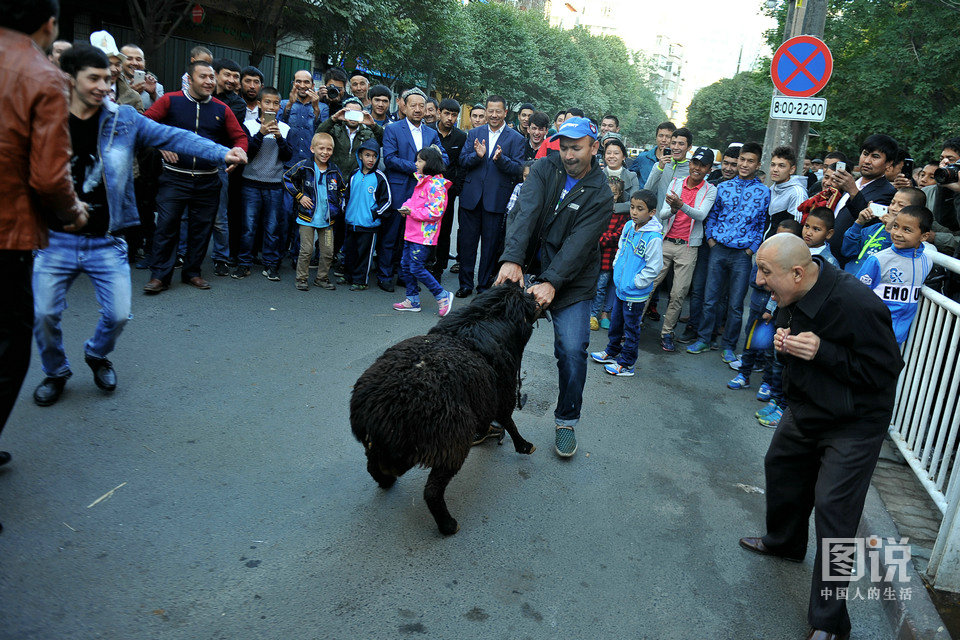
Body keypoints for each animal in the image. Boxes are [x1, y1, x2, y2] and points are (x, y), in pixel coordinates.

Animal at [350, 284, 540, 536]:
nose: (533, 294)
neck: (484, 318)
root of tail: (382, 409)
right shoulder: (503, 393)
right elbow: (509, 421)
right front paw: (524, 445)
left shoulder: (485, 397)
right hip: (451, 442)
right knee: (431, 491)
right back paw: (448, 525)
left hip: (388, 448)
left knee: (373, 466)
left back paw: (386, 481)